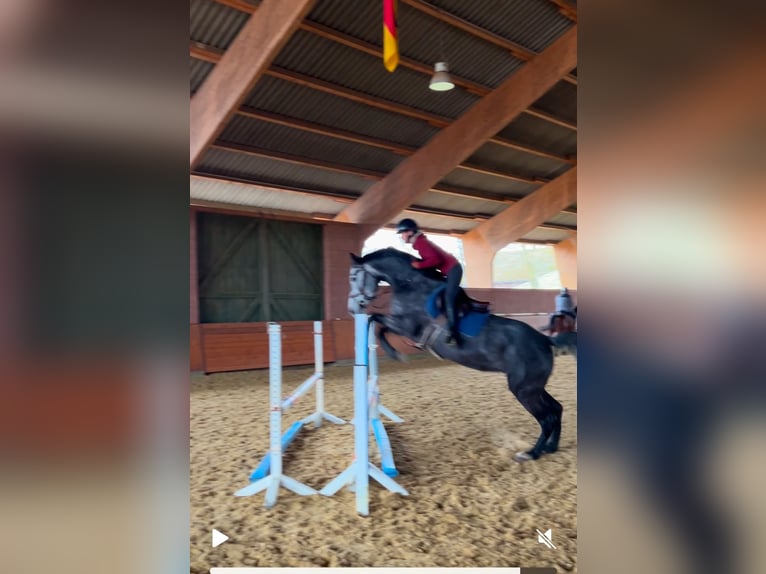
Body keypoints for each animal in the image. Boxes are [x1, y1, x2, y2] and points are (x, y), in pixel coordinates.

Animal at [352, 250, 568, 466]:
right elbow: (377, 322)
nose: (353, 308)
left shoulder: (408, 327)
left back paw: (531, 453)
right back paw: (551, 447)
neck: (410, 284)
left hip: (524, 390)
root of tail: (545, 340)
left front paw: (395, 353)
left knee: (546, 418)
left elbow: (378, 323)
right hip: (533, 387)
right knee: (556, 409)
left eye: (353, 276)